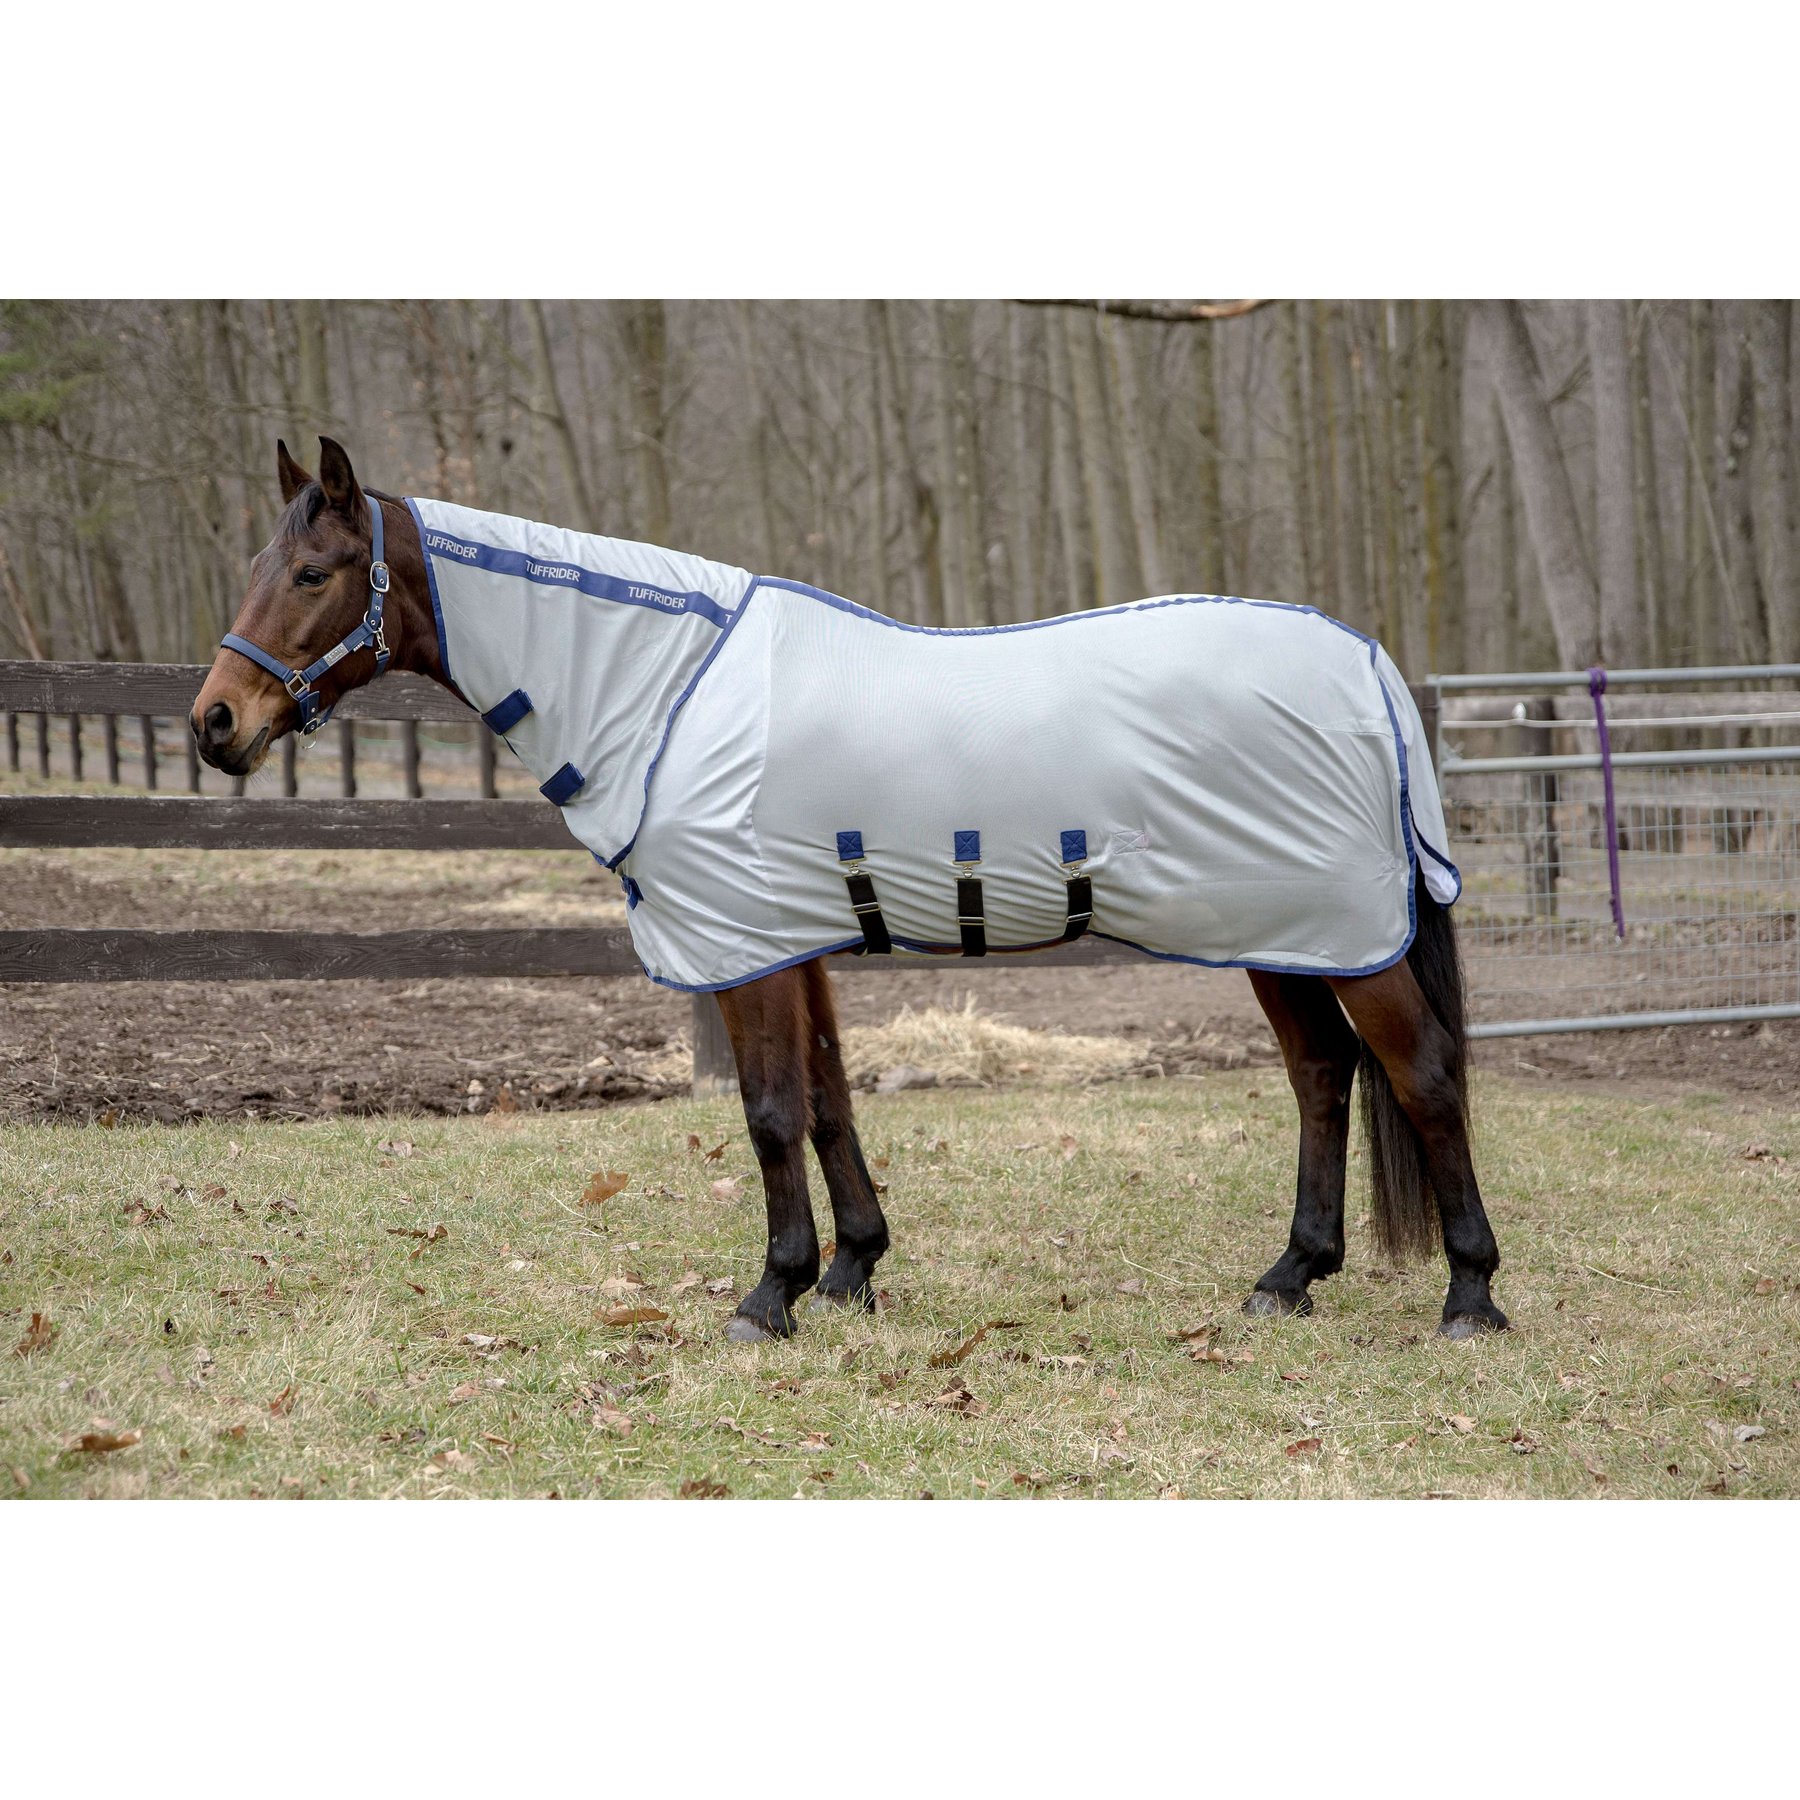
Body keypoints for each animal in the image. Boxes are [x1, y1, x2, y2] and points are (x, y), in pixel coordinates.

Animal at [192, 437, 1507, 1343]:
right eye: (255, 564)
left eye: (312, 571)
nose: (215, 725)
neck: (669, 689)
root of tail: (1367, 668)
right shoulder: (796, 940)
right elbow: (828, 1103)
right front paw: (851, 1270)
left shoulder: (744, 948)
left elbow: (771, 1112)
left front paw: (766, 1298)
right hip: (1280, 931)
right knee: (1324, 1075)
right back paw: (1291, 1277)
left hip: (1338, 932)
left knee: (1422, 1076)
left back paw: (1470, 1297)